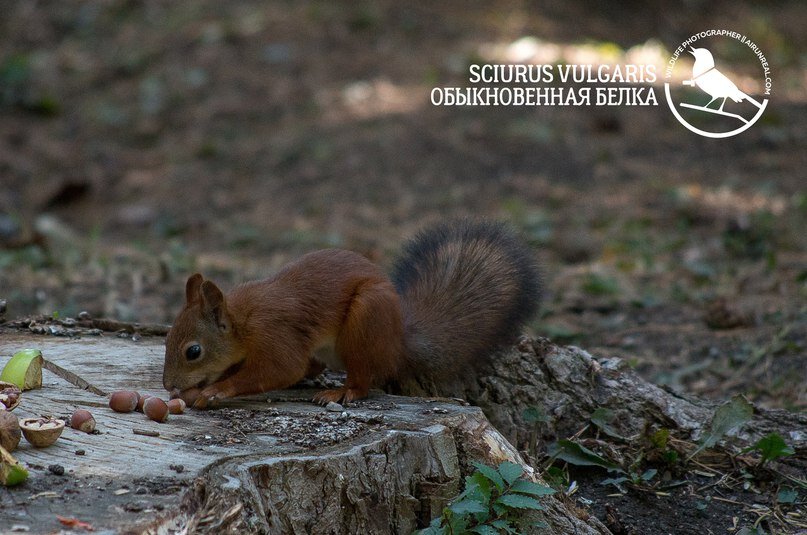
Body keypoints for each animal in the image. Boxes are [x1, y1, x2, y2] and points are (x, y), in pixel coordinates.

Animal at [163, 220, 544, 408]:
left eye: (193, 351)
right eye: (165, 338)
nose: (168, 385)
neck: (243, 323)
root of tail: (399, 342)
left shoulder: (275, 333)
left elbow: (279, 369)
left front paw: (216, 390)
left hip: (367, 319)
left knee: (363, 378)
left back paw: (342, 393)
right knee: (315, 367)